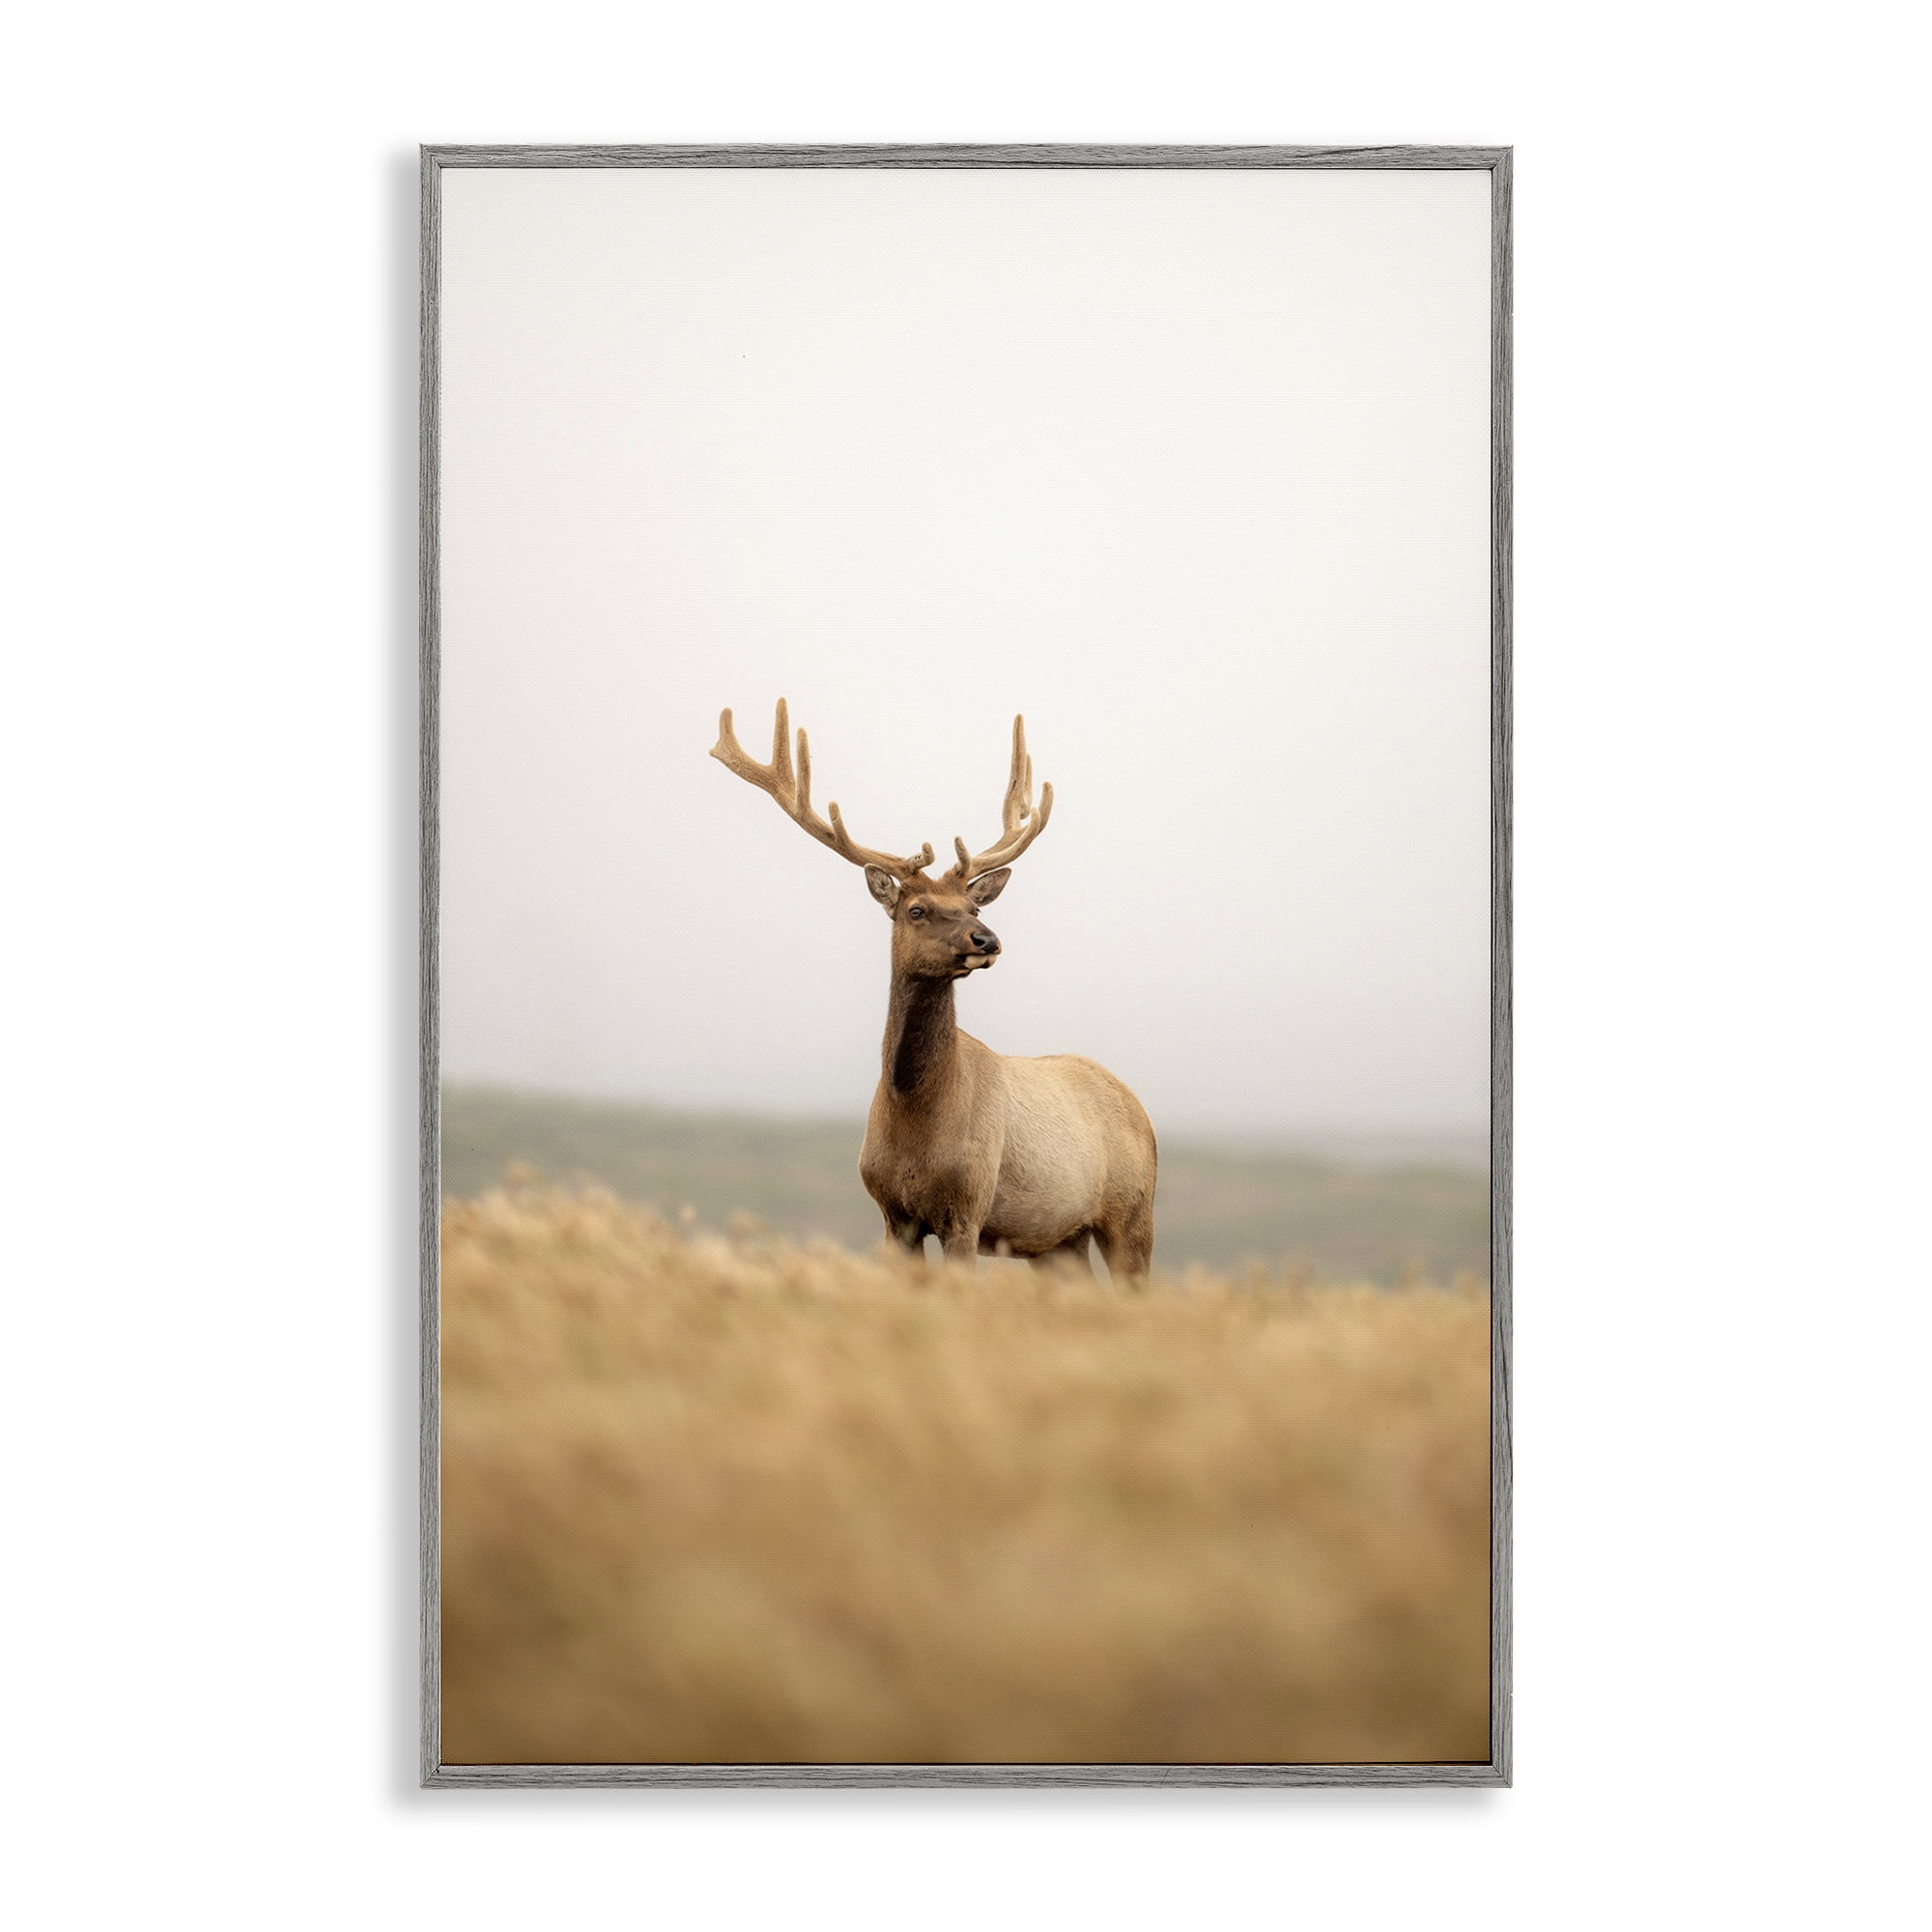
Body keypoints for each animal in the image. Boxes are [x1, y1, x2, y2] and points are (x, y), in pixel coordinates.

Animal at [711, 699, 1157, 1282]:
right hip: (1058, 1241)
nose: (987, 939)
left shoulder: (967, 1207)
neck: (915, 1120)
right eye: (917, 909)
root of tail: (1140, 1108)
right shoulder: (892, 1213)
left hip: (1133, 1213)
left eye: (973, 906)